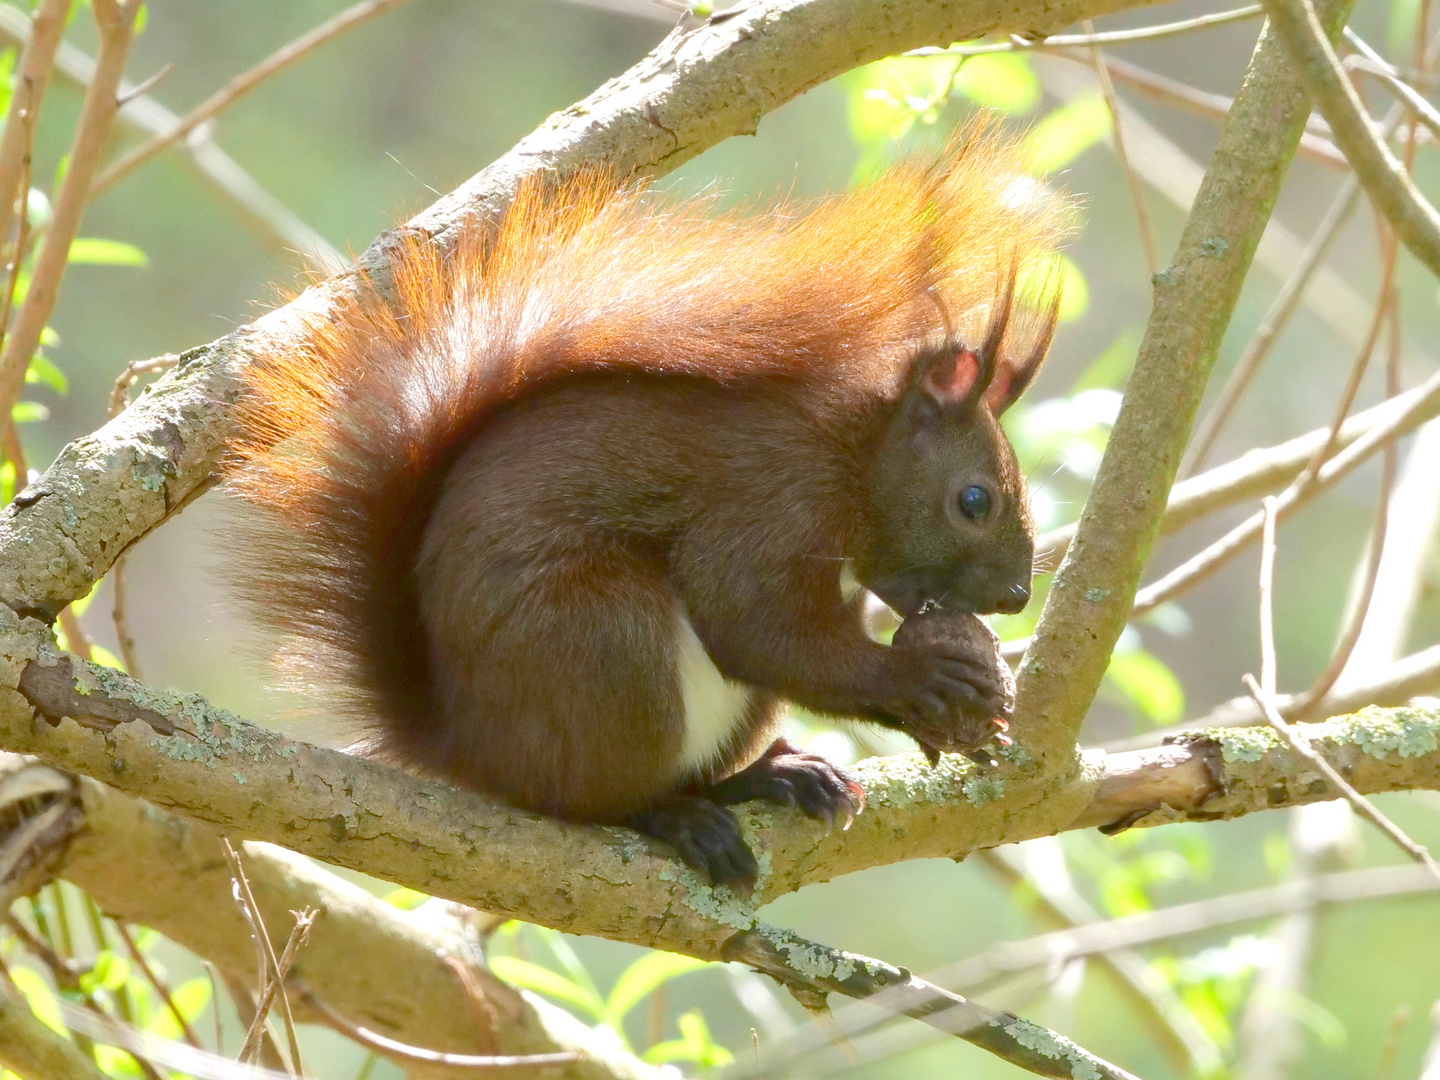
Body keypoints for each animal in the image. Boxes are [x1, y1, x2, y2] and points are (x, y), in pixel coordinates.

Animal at [221, 122, 1059, 892]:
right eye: (974, 500)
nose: (1016, 596)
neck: (853, 462)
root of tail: (471, 749)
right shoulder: (768, 508)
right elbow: (755, 627)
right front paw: (919, 680)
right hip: (606, 642)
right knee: (593, 801)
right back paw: (673, 817)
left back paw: (766, 779)